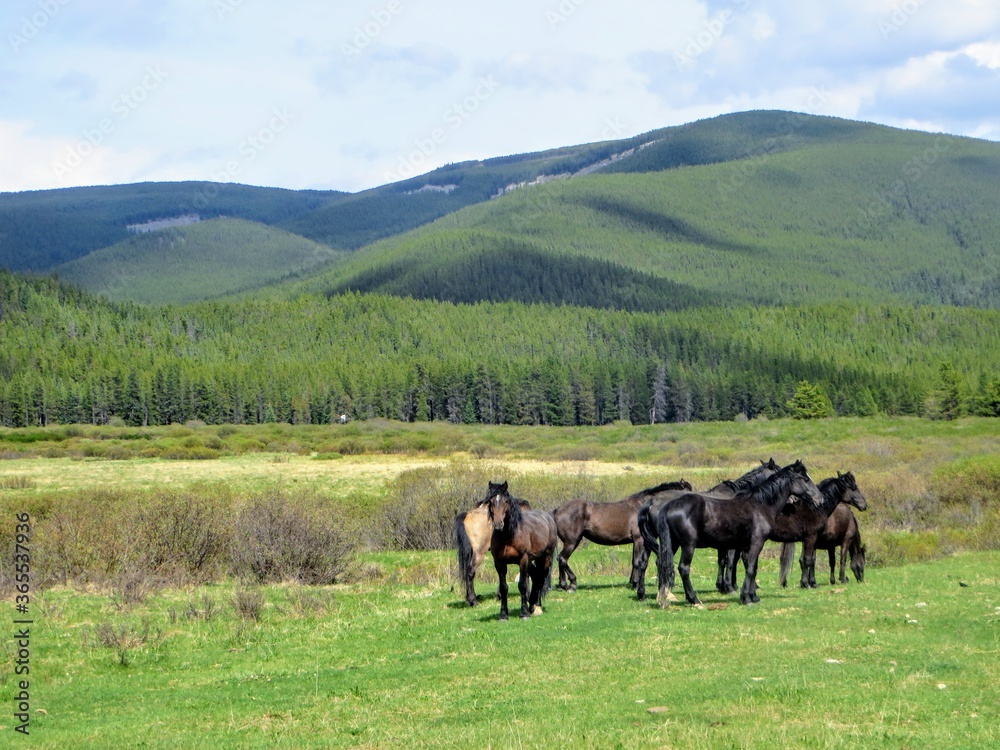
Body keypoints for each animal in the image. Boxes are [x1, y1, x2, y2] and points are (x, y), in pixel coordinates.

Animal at [485, 481, 558, 621]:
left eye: (506, 501)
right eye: (491, 501)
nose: (498, 524)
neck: (508, 536)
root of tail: (548, 518)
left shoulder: (523, 559)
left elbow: (522, 585)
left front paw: (524, 613)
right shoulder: (499, 563)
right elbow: (504, 588)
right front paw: (503, 615)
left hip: (545, 558)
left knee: (541, 577)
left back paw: (537, 606)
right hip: (532, 561)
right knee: (536, 576)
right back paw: (532, 604)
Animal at [553, 479, 692, 592]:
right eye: (688, 493)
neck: (642, 507)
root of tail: (557, 510)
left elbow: (634, 561)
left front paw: (632, 582)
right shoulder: (639, 540)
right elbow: (637, 561)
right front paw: (636, 584)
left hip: (574, 541)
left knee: (561, 560)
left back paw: (568, 583)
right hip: (571, 542)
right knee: (562, 559)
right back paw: (567, 585)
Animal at [633, 459, 780, 601]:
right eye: (778, 469)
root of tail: (653, 501)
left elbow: (723, 561)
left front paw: (725, 585)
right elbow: (732, 561)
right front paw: (731, 586)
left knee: (644, 563)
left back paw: (643, 594)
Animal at [654, 460, 823, 607]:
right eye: (805, 479)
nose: (820, 499)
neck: (760, 506)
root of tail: (669, 506)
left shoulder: (746, 546)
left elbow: (751, 568)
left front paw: (752, 595)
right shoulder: (756, 543)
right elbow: (750, 569)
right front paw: (746, 597)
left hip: (673, 544)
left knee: (664, 564)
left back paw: (664, 597)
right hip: (688, 545)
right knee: (684, 568)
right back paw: (694, 599)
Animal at [719, 471, 867, 592]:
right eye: (854, 487)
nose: (864, 505)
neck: (816, 507)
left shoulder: (808, 540)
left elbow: (805, 560)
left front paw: (806, 583)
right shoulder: (811, 537)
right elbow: (808, 560)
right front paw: (806, 583)